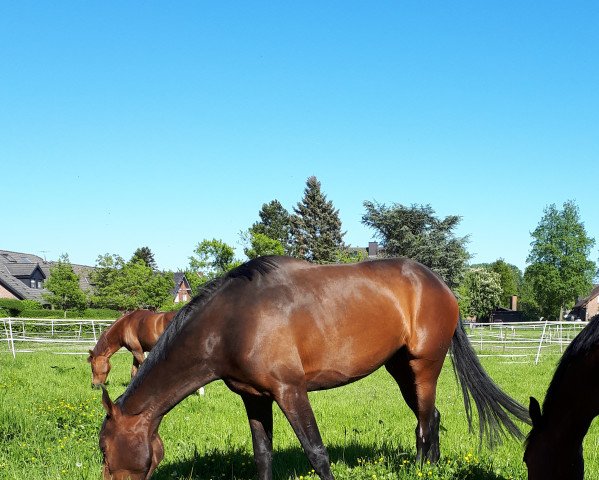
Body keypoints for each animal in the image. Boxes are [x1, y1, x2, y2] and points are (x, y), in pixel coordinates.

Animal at [97, 256, 528, 480]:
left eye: (103, 448)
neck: (232, 322)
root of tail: (438, 283)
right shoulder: (255, 399)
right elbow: (263, 455)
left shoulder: (290, 391)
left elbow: (316, 452)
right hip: (400, 368)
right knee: (432, 417)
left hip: (424, 365)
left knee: (424, 422)